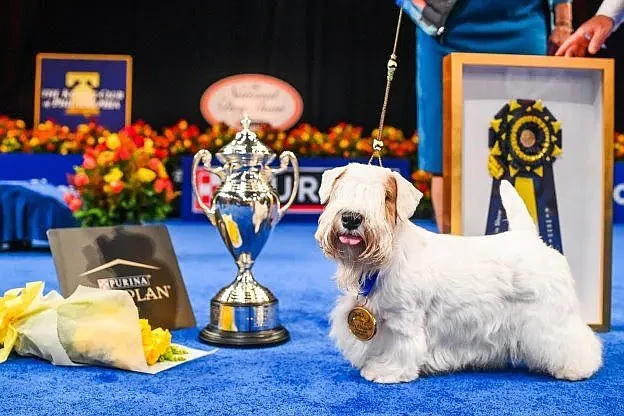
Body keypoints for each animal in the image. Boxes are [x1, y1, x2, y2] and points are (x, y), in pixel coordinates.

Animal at [316, 162, 604, 384]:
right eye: (341, 190)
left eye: (385, 197)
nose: (351, 218)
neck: (385, 258)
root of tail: (530, 238)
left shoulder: (403, 319)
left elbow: (401, 346)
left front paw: (387, 371)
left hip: (552, 316)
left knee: (574, 340)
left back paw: (577, 368)